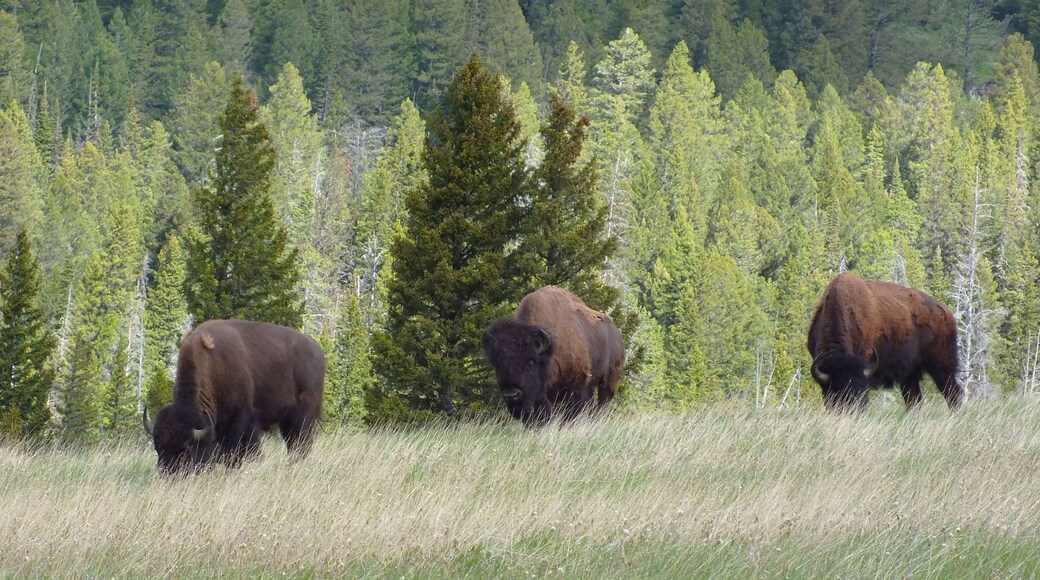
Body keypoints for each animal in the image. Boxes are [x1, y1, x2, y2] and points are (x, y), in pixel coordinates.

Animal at [143, 319, 325, 473]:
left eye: (187, 448)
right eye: (158, 447)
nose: (169, 474)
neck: (213, 366)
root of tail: (317, 350)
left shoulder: (244, 421)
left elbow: (242, 452)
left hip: (303, 417)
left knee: (301, 443)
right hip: (286, 421)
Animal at [482, 285, 625, 425]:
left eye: (531, 362)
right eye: (498, 364)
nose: (511, 395)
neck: (550, 350)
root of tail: (617, 333)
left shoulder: (575, 387)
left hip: (609, 381)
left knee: (602, 403)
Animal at [807, 272, 965, 412]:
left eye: (861, 392)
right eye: (836, 392)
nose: (852, 410)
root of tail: (946, 313)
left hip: (942, 368)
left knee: (953, 393)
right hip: (910, 374)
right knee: (914, 400)